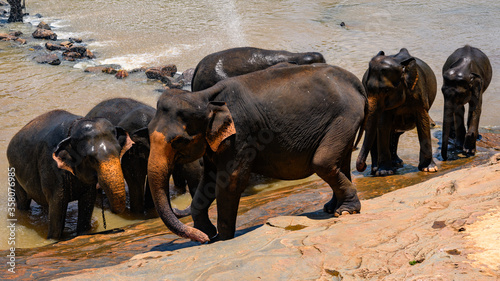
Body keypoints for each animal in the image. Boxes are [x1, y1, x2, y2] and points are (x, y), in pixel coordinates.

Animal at [146, 62, 366, 242]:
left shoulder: (241, 135)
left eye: (178, 141)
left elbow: (229, 182)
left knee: (323, 162)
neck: (204, 97)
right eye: (147, 132)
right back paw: (332, 208)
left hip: (345, 117)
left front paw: (222, 239)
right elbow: (208, 180)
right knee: (339, 161)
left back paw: (345, 211)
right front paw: (208, 234)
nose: (203, 239)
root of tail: (356, 82)